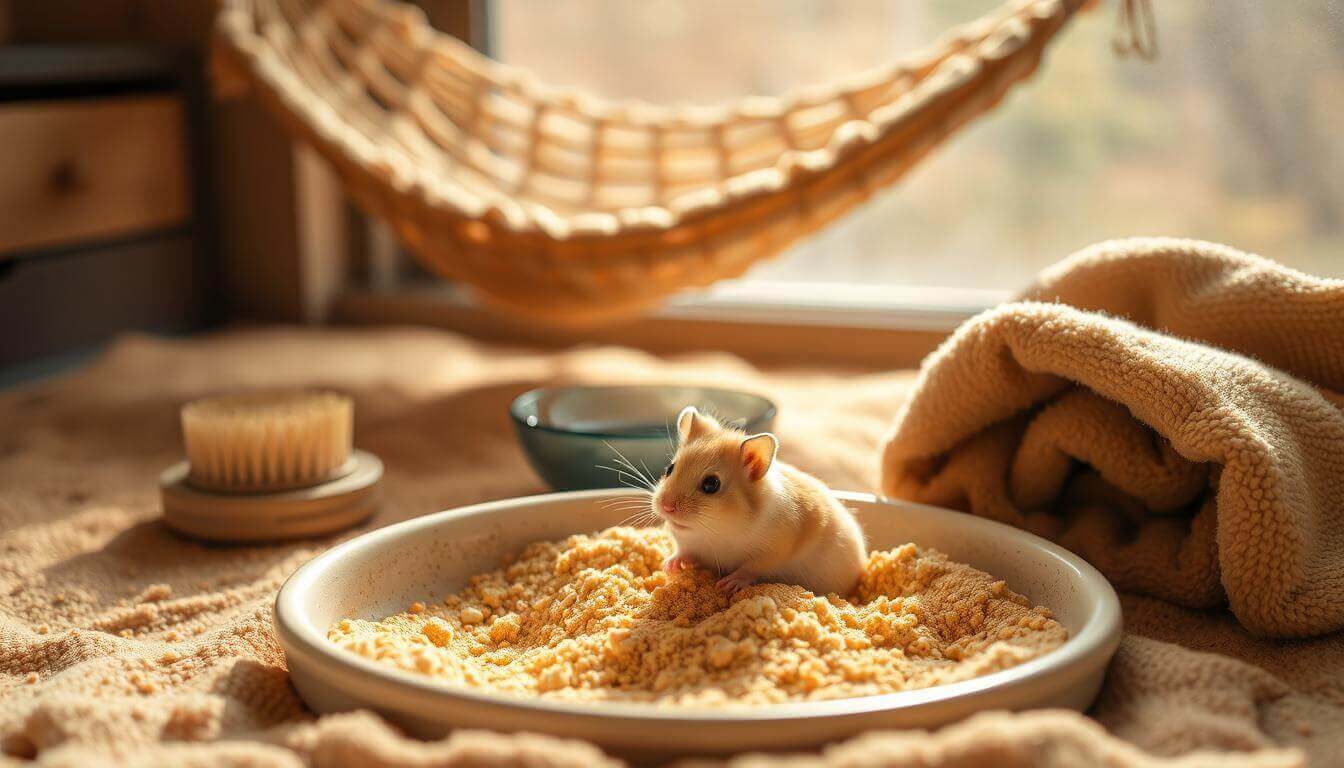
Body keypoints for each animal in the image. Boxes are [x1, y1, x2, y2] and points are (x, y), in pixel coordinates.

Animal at [651, 406, 867, 597]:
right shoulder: (688, 544)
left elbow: (751, 568)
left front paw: (727, 584)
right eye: (669, 469)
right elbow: (683, 551)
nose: (665, 507)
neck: (714, 532)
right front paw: (668, 566)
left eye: (711, 484)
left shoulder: (774, 550)